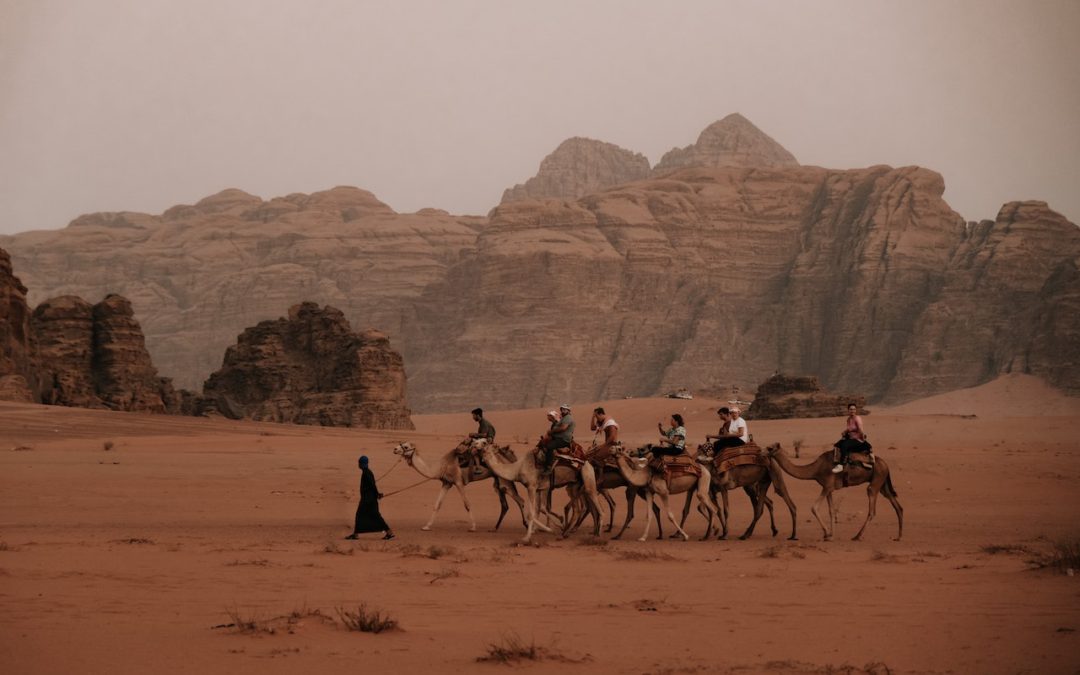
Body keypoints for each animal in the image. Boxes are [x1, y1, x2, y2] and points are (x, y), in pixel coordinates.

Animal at [393, 442, 527, 531]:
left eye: (406, 447)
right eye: (401, 444)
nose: (394, 449)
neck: (441, 466)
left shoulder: (458, 481)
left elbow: (467, 504)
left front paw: (473, 527)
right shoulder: (447, 483)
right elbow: (437, 505)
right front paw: (426, 526)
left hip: (504, 480)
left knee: (520, 500)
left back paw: (526, 525)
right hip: (498, 481)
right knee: (505, 505)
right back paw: (495, 528)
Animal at [764, 440, 907, 540]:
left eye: (770, 448)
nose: (761, 452)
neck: (815, 470)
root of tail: (886, 464)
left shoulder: (827, 486)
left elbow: (814, 508)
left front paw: (826, 533)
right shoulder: (829, 489)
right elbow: (831, 511)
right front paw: (831, 534)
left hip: (876, 482)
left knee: (872, 508)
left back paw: (857, 536)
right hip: (883, 484)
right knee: (897, 506)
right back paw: (899, 536)